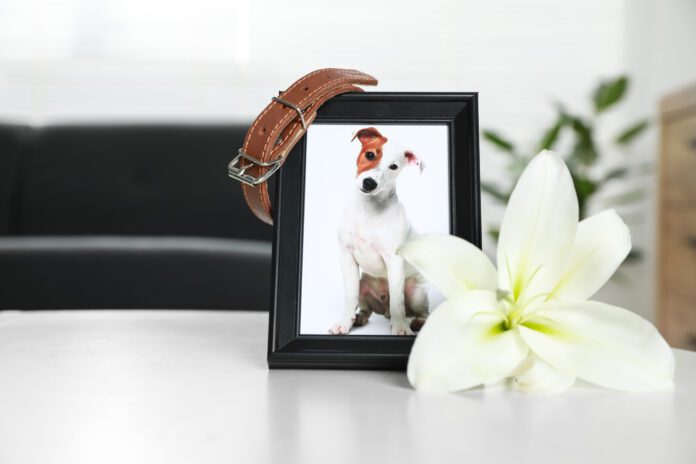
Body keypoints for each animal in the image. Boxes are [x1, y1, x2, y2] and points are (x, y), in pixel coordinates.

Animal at [330, 127, 430, 338]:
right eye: (370, 155)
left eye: (393, 166)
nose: (369, 183)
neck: (369, 210)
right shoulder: (347, 257)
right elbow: (350, 297)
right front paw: (344, 324)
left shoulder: (395, 260)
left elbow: (398, 301)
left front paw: (401, 328)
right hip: (363, 286)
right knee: (366, 309)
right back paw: (358, 318)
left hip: (416, 292)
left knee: (420, 311)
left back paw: (416, 323)